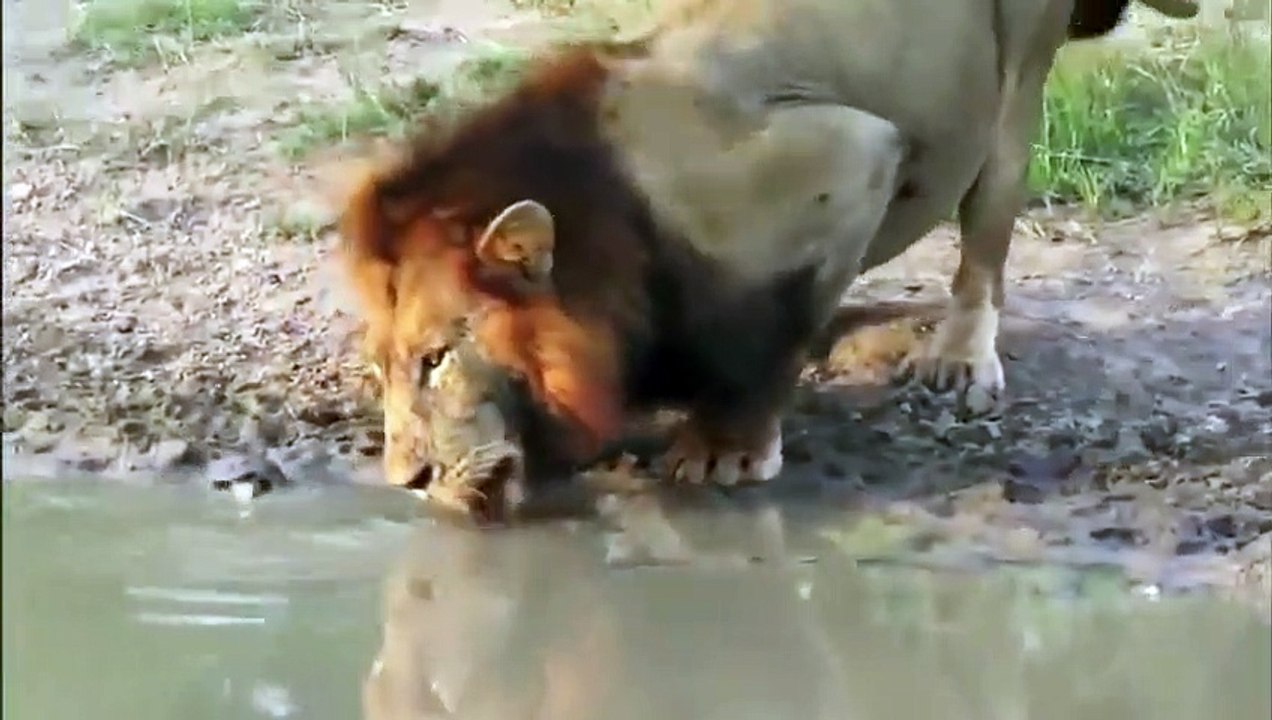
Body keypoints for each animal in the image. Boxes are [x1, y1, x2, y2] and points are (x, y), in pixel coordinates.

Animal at [338, 0, 1197, 519]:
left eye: (437, 359)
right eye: (381, 367)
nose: (406, 481)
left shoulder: (847, 159)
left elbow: (774, 335)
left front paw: (726, 450)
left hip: (1015, 74)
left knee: (987, 227)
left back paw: (959, 355)